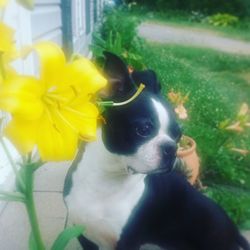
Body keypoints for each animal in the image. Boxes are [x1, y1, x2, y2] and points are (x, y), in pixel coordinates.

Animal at [63, 52, 250, 250]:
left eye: (178, 135)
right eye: (143, 129)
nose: (171, 148)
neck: (108, 177)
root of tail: (234, 231)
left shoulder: (128, 242)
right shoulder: (83, 233)